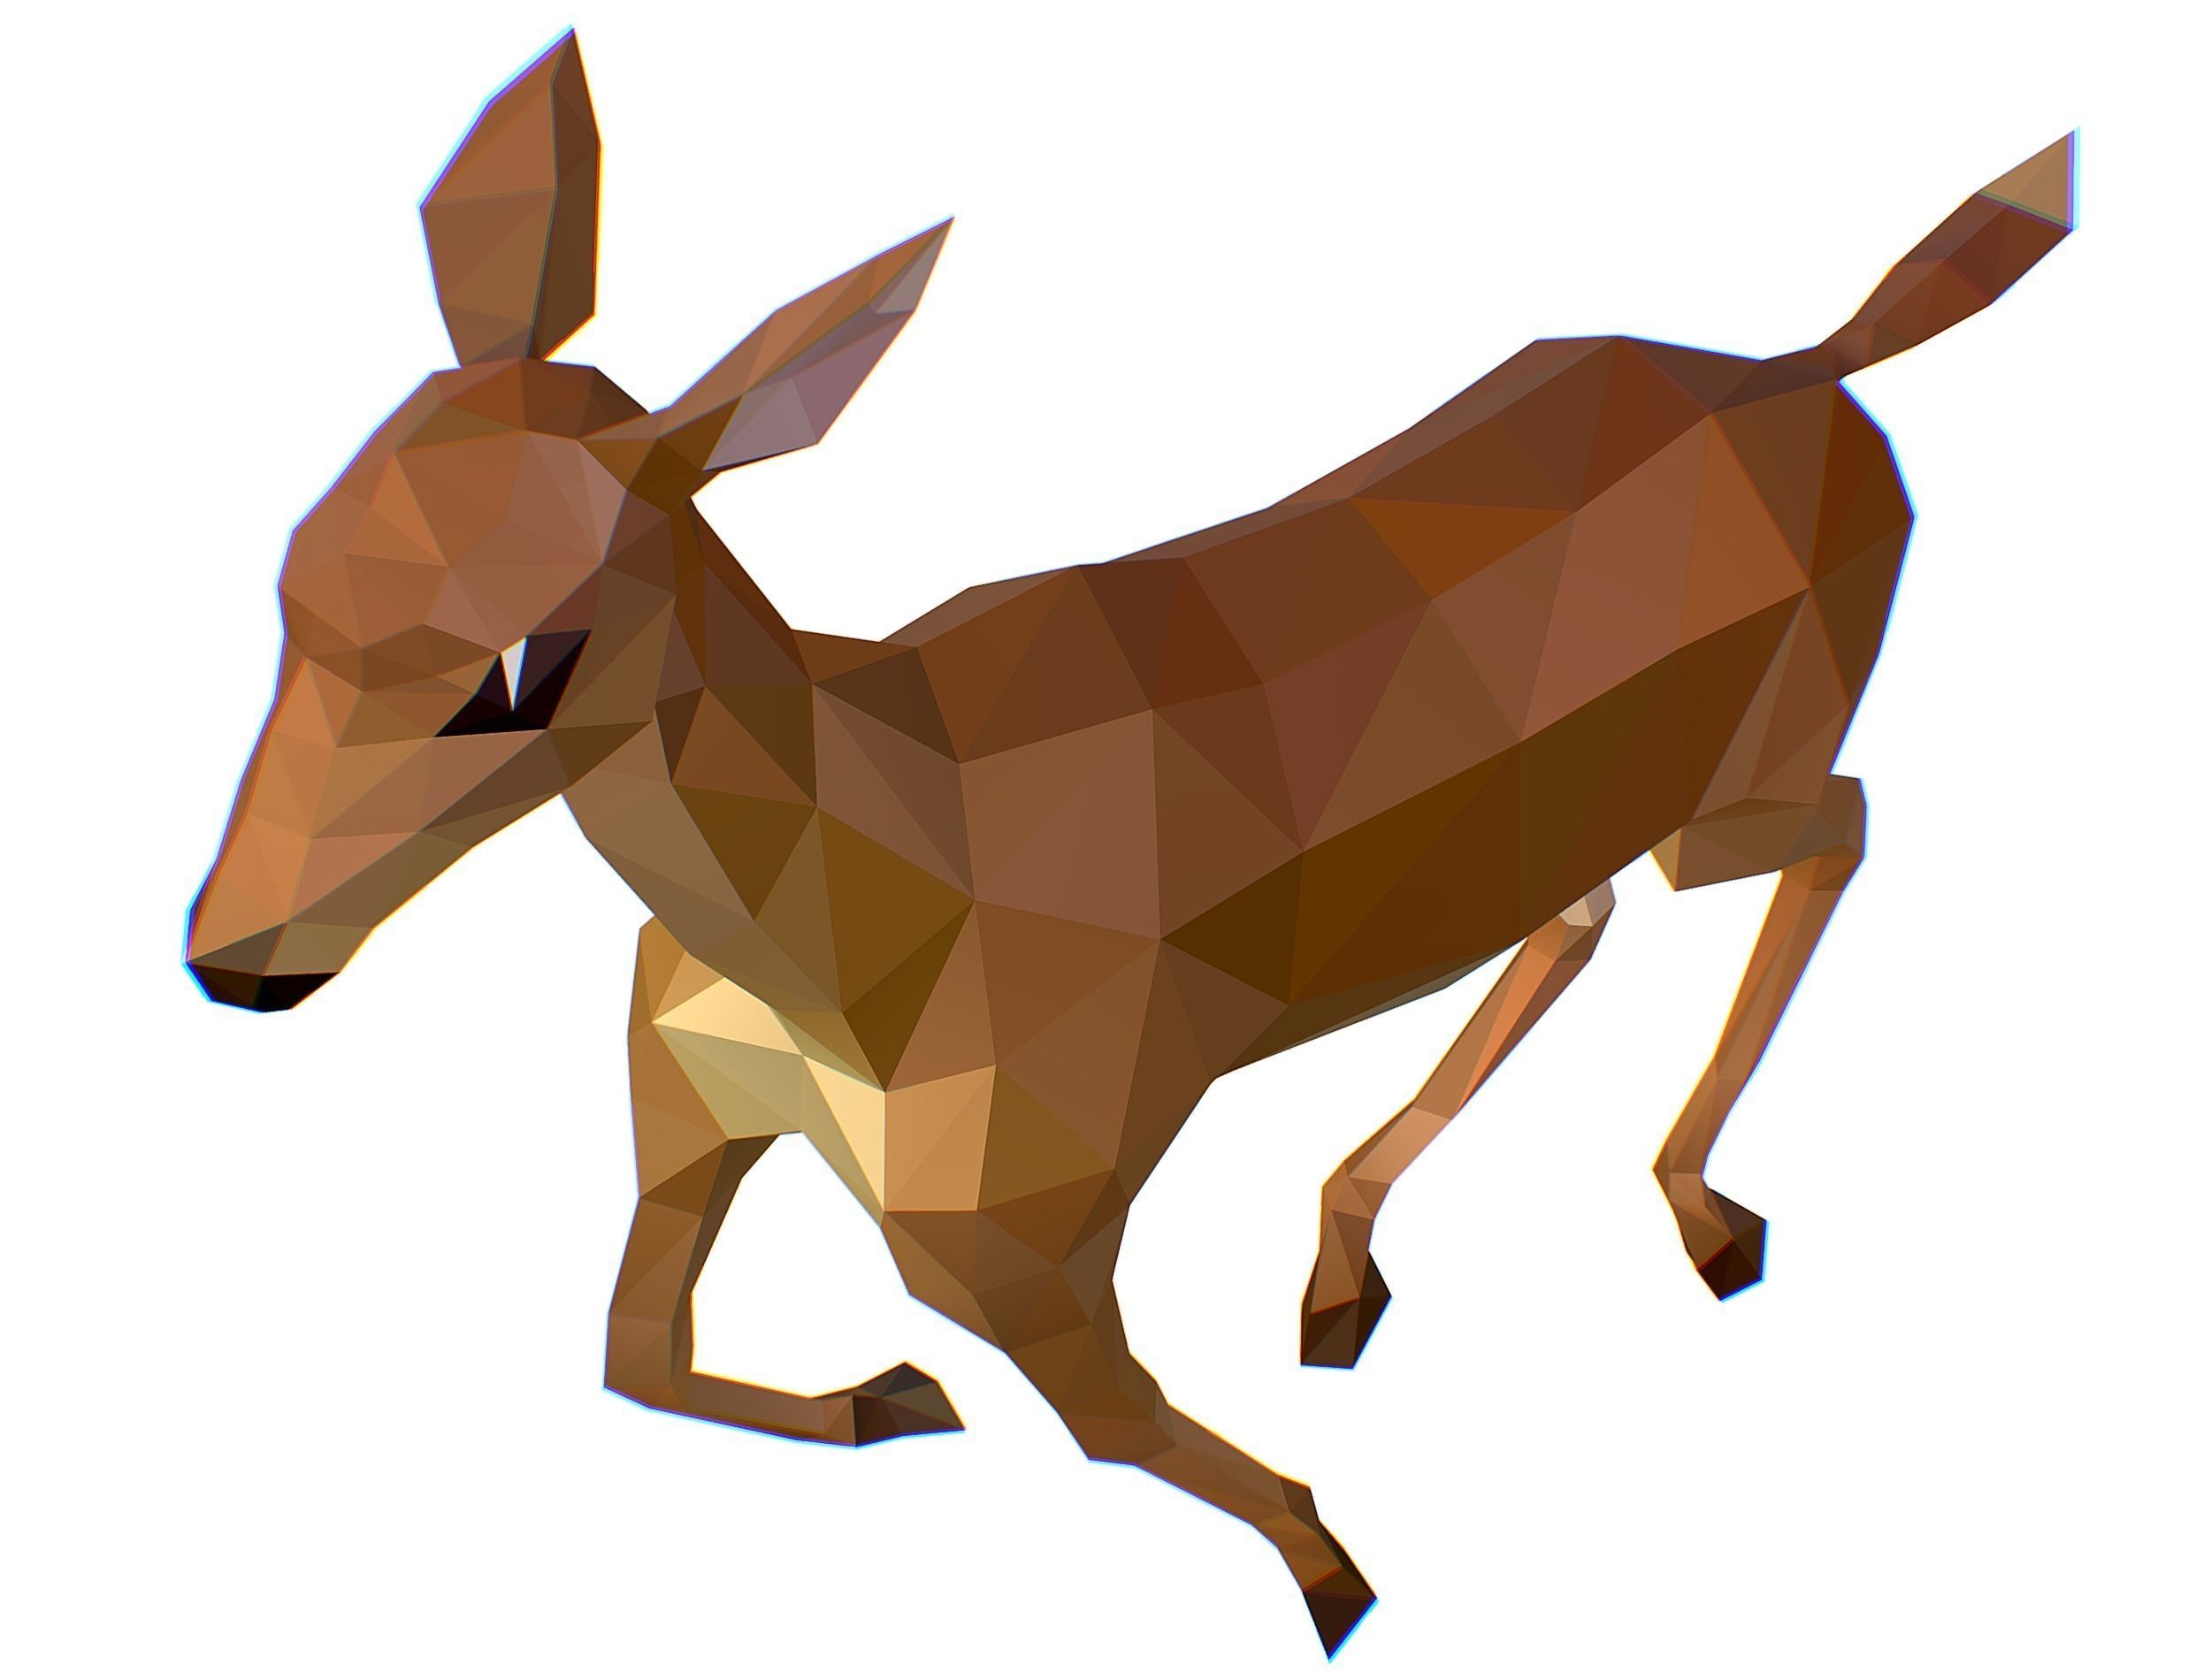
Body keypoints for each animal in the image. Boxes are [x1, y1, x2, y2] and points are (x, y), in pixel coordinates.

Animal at [184, 31, 2073, 1657]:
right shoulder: (695, 1119)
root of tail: (1815, 367)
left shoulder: (1031, 1242)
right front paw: (892, 1401)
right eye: (295, 564)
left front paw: (1331, 1574)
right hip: (1578, 819)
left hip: (1745, 787)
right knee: (1583, 913)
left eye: (518, 668)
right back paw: (1344, 1268)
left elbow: (1117, 1427)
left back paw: (1697, 1219)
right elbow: (630, 1351)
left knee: (1835, 831)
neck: (869, 911)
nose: (236, 965)